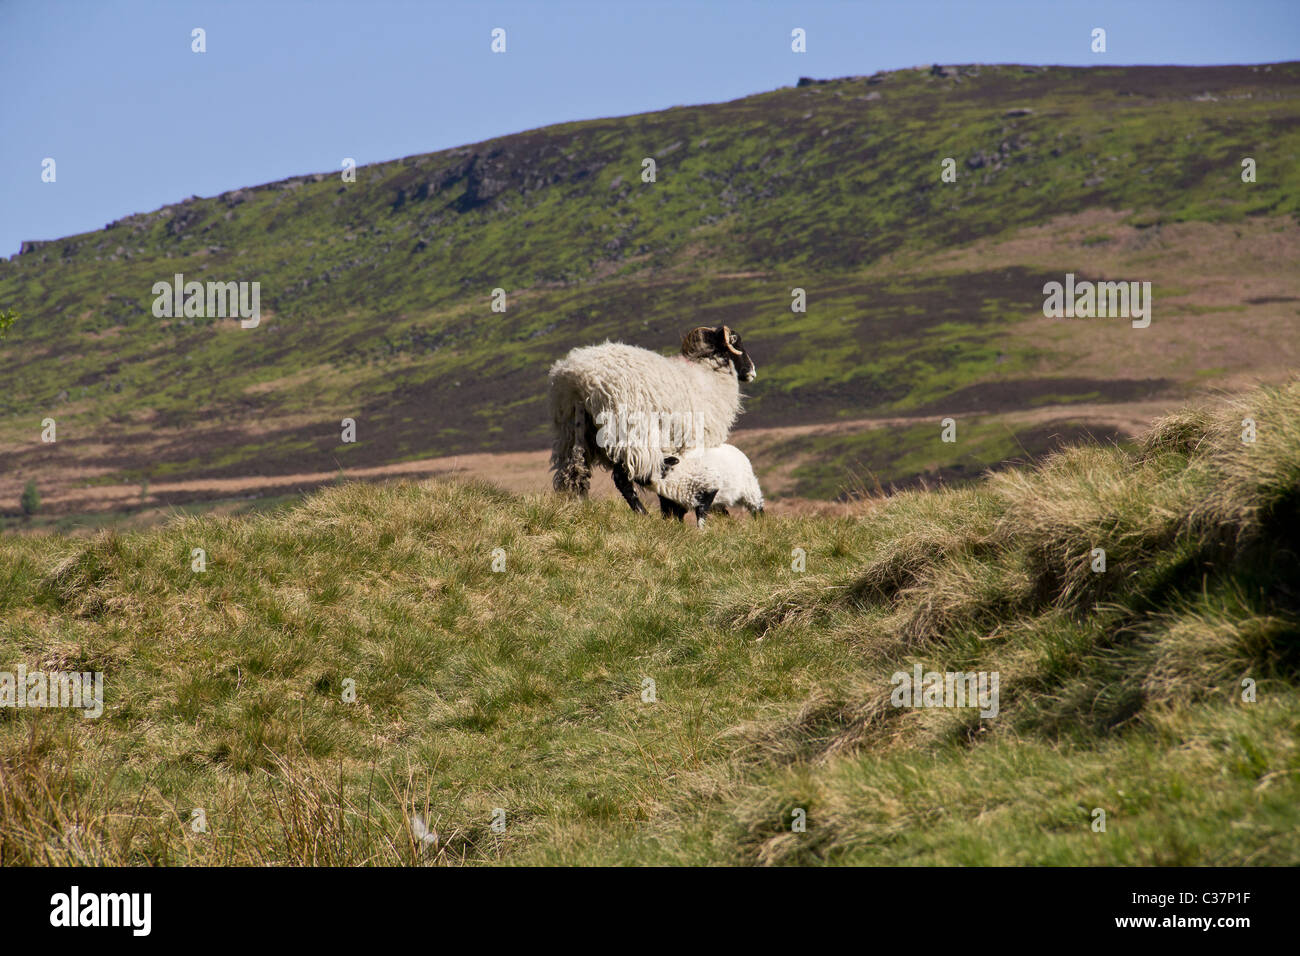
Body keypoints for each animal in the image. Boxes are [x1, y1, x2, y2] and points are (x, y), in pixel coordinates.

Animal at [546, 325, 754, 512]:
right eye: (736, 341)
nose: (752, 372)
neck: (709, 375)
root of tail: (577, 379)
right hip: (629, 431)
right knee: (627, 477)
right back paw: (642, 514)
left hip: (572, 430)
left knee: (573, 473)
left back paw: (577, 505)